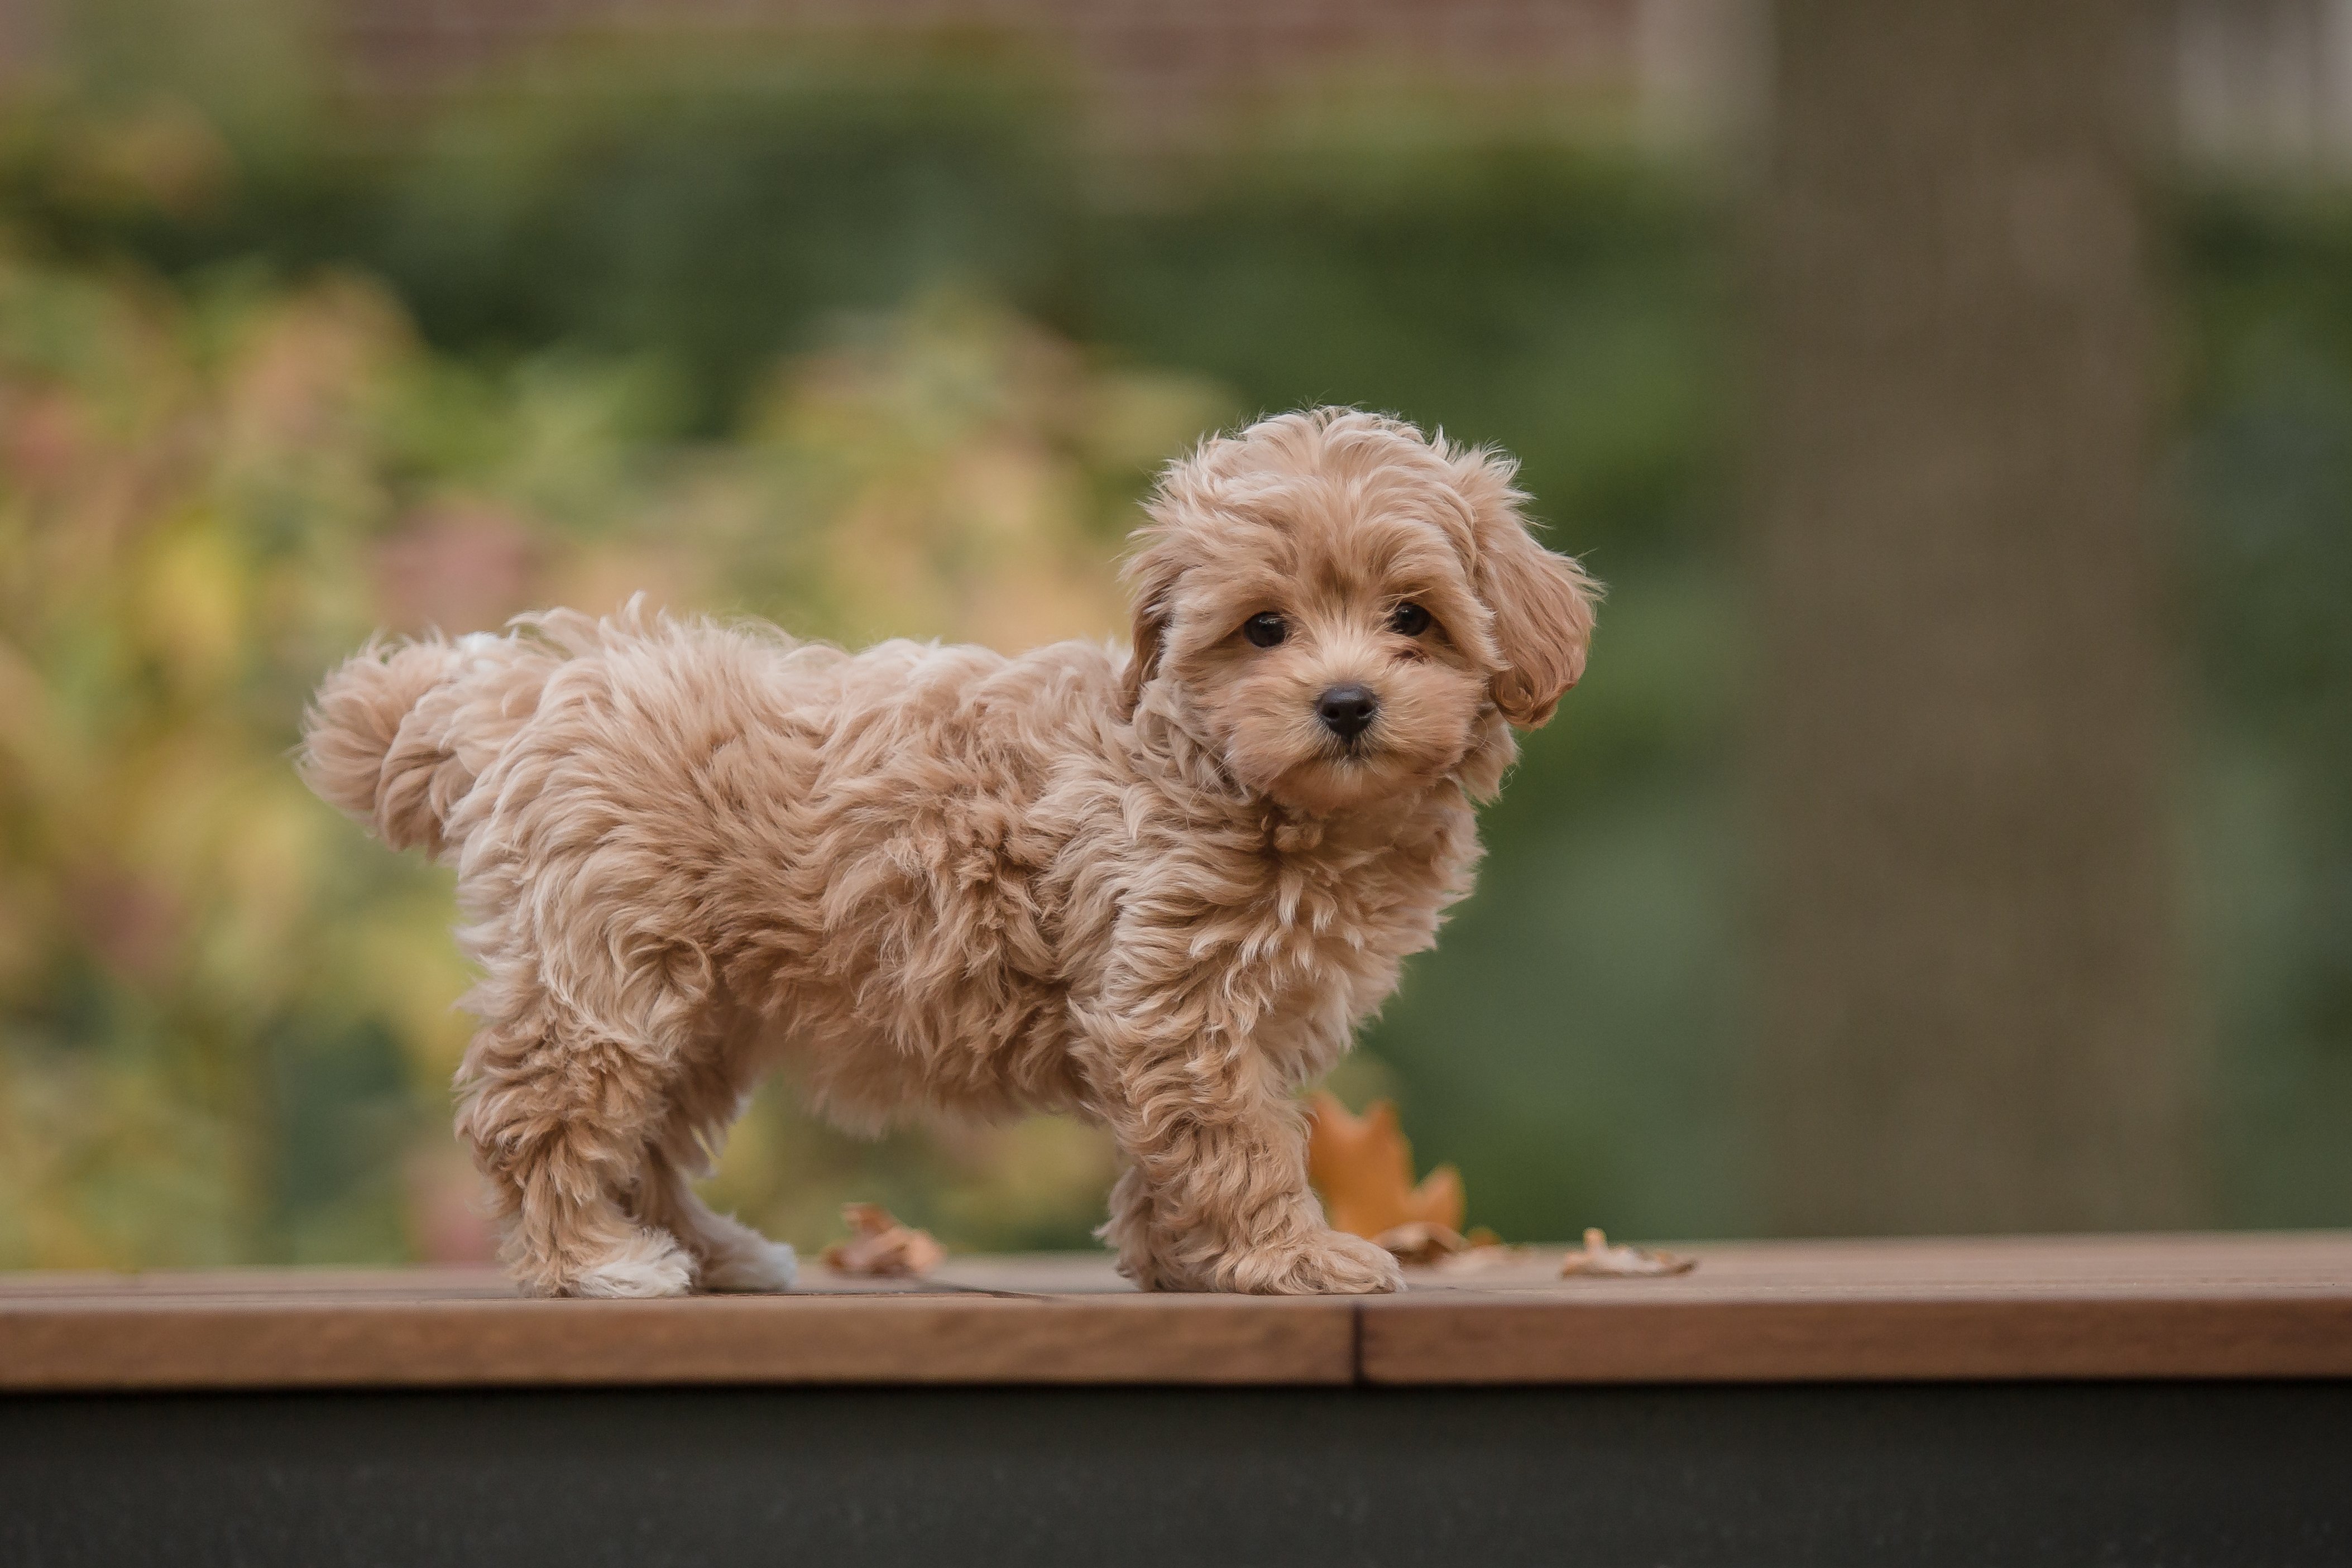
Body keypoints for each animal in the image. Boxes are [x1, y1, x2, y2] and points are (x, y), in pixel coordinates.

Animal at [299, 409, 1599, 1297]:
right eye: (1264, 628)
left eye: (1412, 618)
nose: (1344, 703)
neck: (1232, 778)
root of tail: (514, 692)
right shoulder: (1174, 997)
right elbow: (1235, 1139)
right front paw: (1288, 1254)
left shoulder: (1220, 1015)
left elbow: (1182, 1142)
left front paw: (1180, 1258)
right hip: (609, 972)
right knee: (542, 1116)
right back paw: (597, 1261)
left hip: (702, 1005)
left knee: (650, 1139)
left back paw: (706, 1250)